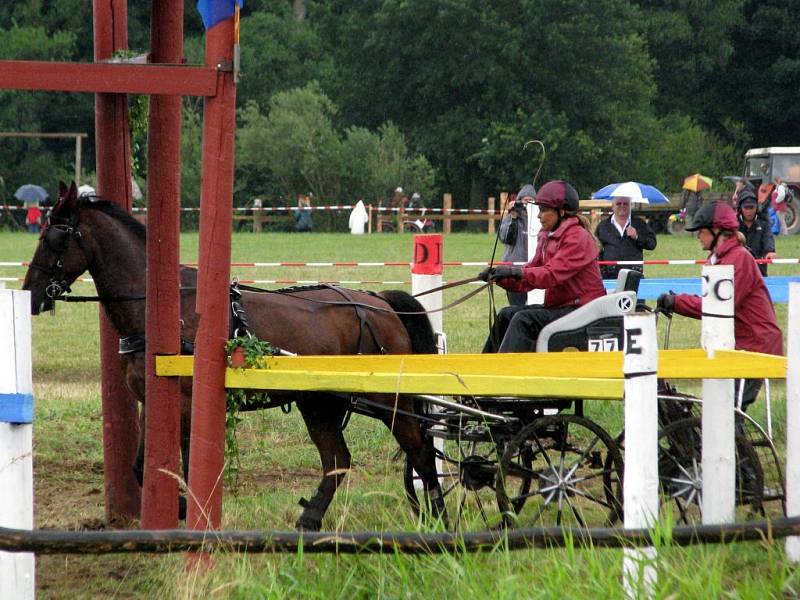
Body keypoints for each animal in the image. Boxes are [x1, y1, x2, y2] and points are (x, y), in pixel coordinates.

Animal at [23, 183, 444, 528]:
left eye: (56, 238)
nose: (29, 294)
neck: (166, 312)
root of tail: (380, 303)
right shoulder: (152, 401)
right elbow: (142, 467)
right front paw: (177, 507)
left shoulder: (188, 404)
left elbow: (188, 466)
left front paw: (187, 509)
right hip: (319, 402)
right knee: (337, 460)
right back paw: (310, 520)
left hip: (388, 400)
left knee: (421, 452)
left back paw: (438, 518)